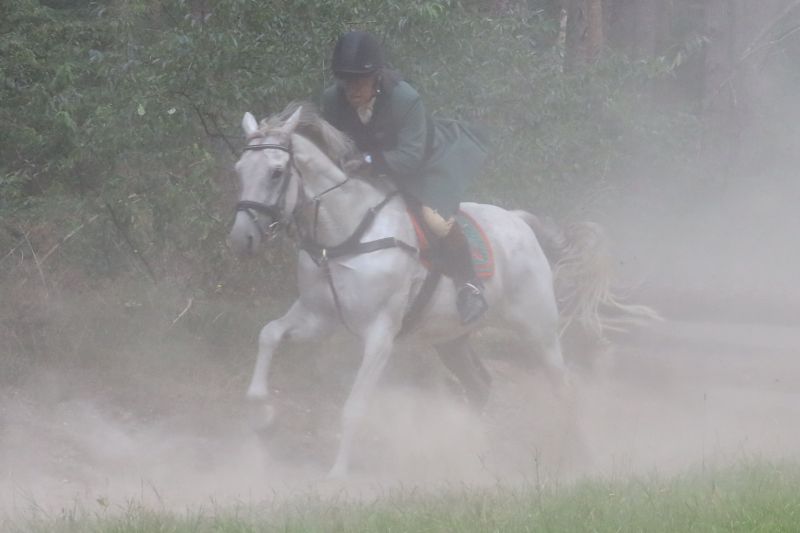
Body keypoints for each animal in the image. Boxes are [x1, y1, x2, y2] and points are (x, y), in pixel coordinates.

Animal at [227, 102, 649, 478]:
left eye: (276, 173)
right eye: (239, 170)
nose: (241, 239)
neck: (348, 233)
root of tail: (518, 221)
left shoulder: (379, 335)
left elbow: (355, 406)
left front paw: (337, 475)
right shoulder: (318, 316)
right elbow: (269, 335)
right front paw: (263, 418)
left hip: (539, 330)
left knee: (565, 388)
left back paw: (582, 458)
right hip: (452, 339)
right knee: (480, 386)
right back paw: (470, 456)